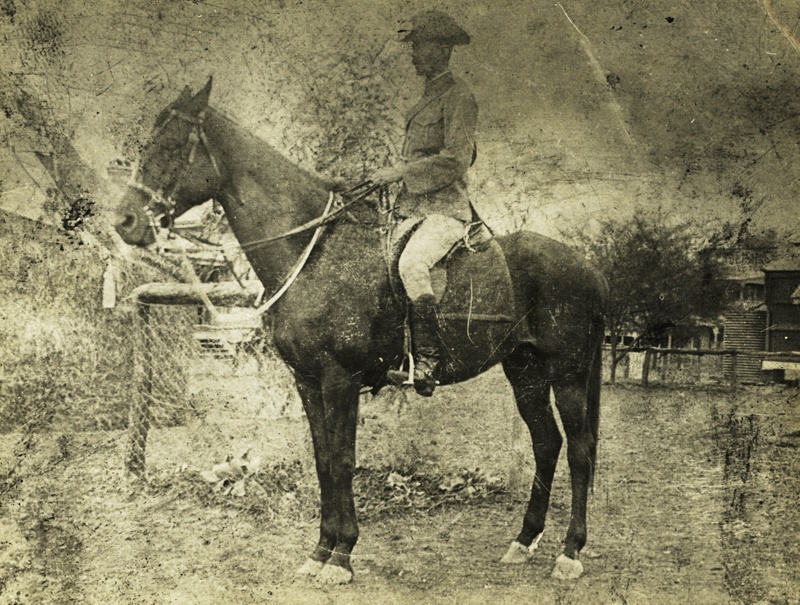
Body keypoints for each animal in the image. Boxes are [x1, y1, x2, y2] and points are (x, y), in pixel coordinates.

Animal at [114, 78, 608, 584]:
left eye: (171, 145)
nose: (124, 221)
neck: (313, 254)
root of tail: (590, 269)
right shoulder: (308, 381)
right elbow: (322, 462)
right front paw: (320, 550)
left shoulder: (340, 380)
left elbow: (342, 461)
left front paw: (342, 554)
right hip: (526, 373)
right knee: (547, 443)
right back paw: (524, 540)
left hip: (568, 375)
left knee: (579, 451)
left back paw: (570, 551)